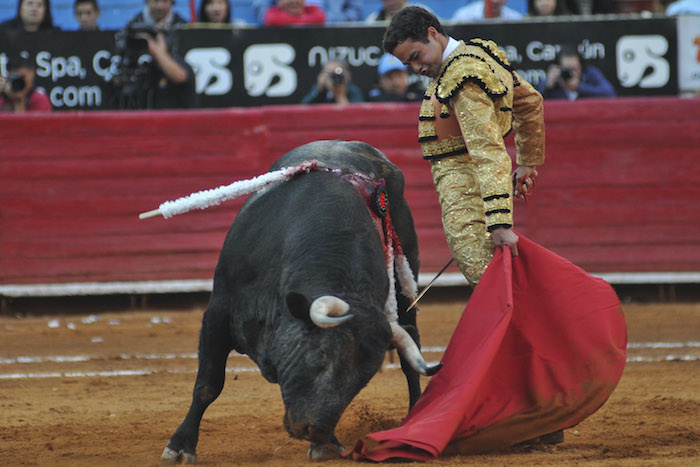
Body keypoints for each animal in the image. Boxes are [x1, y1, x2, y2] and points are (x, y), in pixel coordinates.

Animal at [161, 140, 440, 464]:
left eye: (362, 380)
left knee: (411, 352)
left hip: (406, 284)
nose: (315, 430)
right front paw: (180, 446)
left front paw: (325, 444)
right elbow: (208, 384)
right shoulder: (218, 313)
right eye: (319, 355)